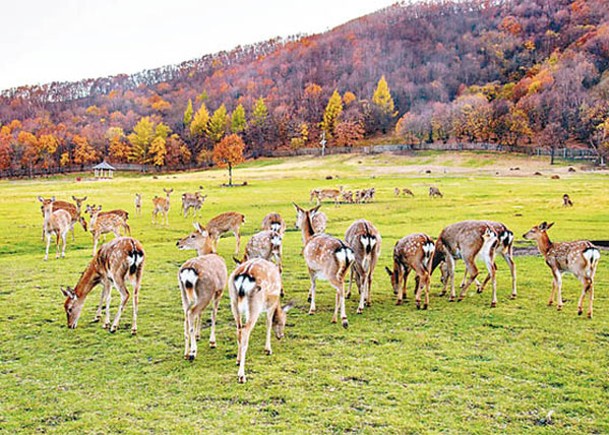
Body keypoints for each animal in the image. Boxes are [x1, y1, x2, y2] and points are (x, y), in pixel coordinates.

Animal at [176, 223, 228, 360]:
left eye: (193, 235)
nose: (178, 242)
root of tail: (188, 270)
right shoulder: (220, 290)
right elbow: (213, 313)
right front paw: (212, 342)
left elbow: (201, 314)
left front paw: (198, 335)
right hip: (206, 292)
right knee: (192, 313)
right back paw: (193, 352)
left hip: (184, 293)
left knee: (186, 315)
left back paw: (186, 352)